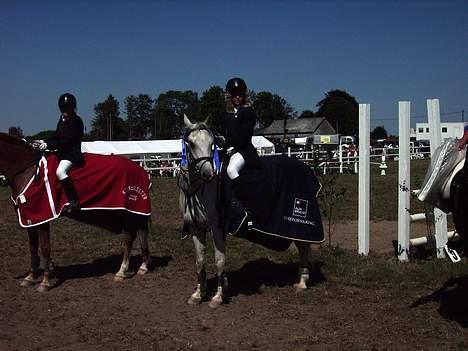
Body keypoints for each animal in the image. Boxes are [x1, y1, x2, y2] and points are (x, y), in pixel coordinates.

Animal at [0, 133, 151, 292]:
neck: (28, 171)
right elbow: (33, 248)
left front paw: (45, 281)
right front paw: (30, 277)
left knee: (129, 238)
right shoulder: (30, 219)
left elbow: (45, 248)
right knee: (138, 234)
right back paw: (142, 267)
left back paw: (121, 272)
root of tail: (141, 170)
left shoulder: (42, 218)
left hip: (129, 211)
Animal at [179, 115, 314, 308]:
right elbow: (200, 261)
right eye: (191, 143)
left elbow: (219, 261)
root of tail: (305, 167)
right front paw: (198, 293)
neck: (199, 190)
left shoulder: (218, 228)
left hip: (298, 222)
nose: (208, 173)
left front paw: (218, 296)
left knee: (304, 246)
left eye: (212, 143)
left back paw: (302, 282)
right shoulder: (195, 229)